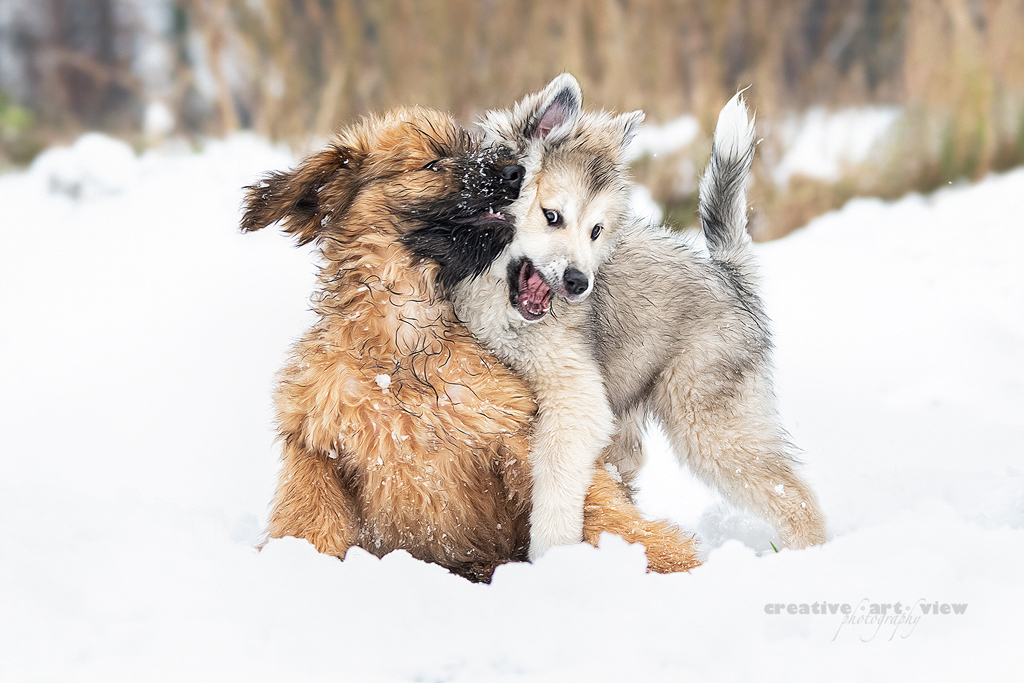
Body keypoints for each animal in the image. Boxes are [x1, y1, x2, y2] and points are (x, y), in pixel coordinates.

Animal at [241, 107, 704, 581]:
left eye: (473, 146)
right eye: (433, 163)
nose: (516, 171)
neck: (403, 349)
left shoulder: (513, 432)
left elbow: (600, 512)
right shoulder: (317, 447)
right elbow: (310, 523)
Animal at [456, 74, 831, 557]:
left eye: (596, 231)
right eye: (551, 216)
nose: (579, 283)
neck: (499, 302)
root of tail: (729, 275)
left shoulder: (578, 400)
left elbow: (555, 478)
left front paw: (551, 557)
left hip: (706, 419)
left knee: (794, 497)